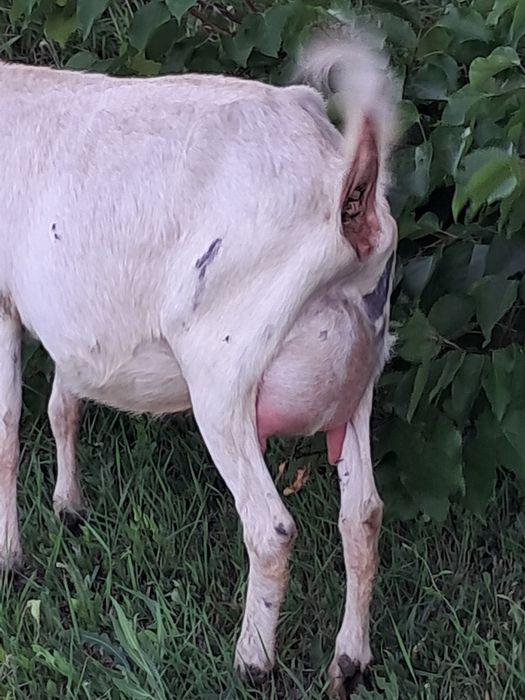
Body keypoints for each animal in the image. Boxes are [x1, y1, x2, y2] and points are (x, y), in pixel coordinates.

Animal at [0, 34, 397, 697]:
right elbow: (63, 403)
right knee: (362, 514)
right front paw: (68, 507)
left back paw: (252, 662)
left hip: (224, 374)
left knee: (271, 528)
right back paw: (348, 662)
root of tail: (351, 195)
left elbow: (7, 429)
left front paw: (9, 558)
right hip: (362, 367)